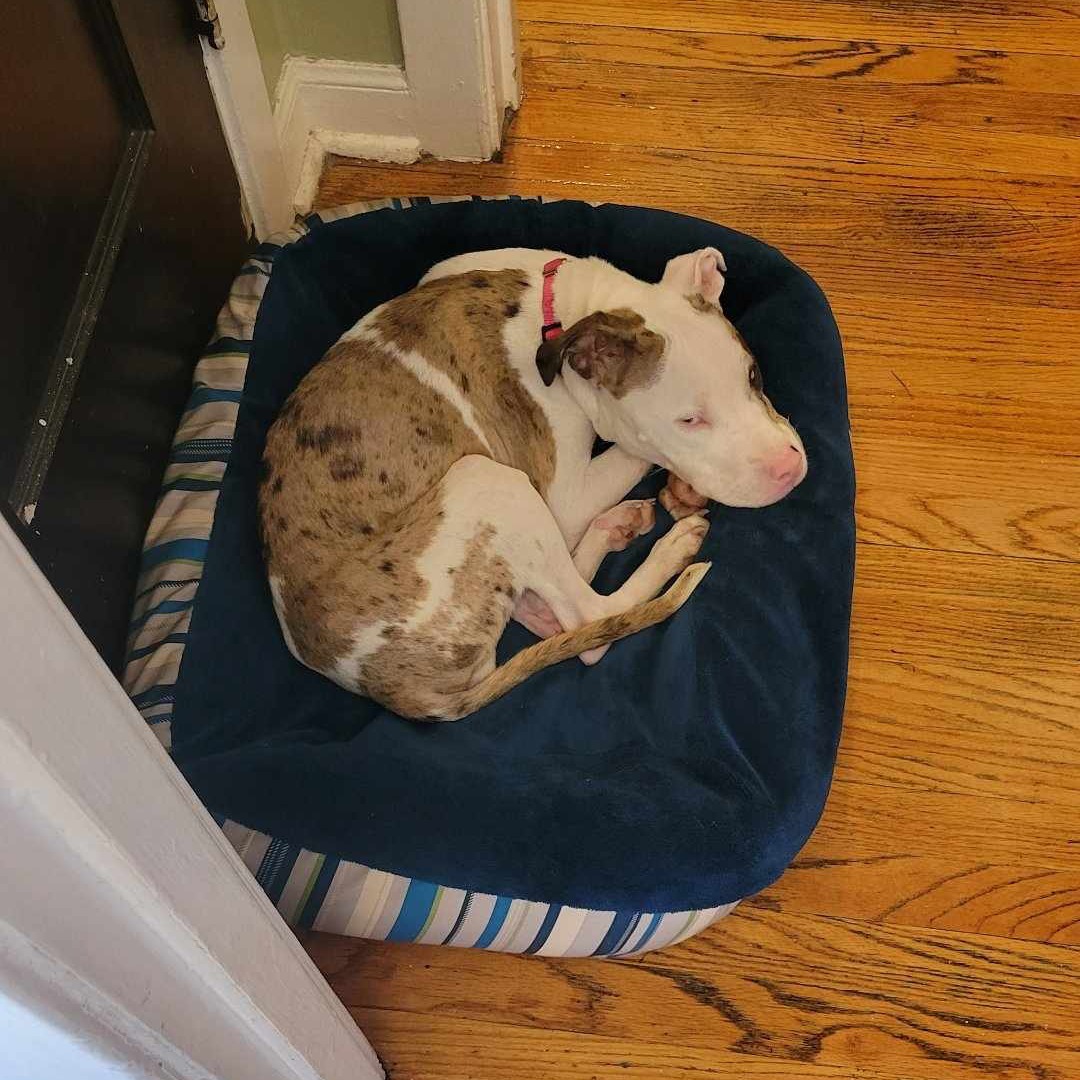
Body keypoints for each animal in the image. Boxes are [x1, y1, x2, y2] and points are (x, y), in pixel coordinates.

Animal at [257, 245, 807, 717]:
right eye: (689, 421)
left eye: (754, 376)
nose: (790, 470)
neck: (565, 314)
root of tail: (396, 691)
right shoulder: (566, 495)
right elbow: (632, 453)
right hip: (490, 482)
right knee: (588, 621)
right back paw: (670, 548)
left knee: (555, 611)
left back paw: (618, 526)